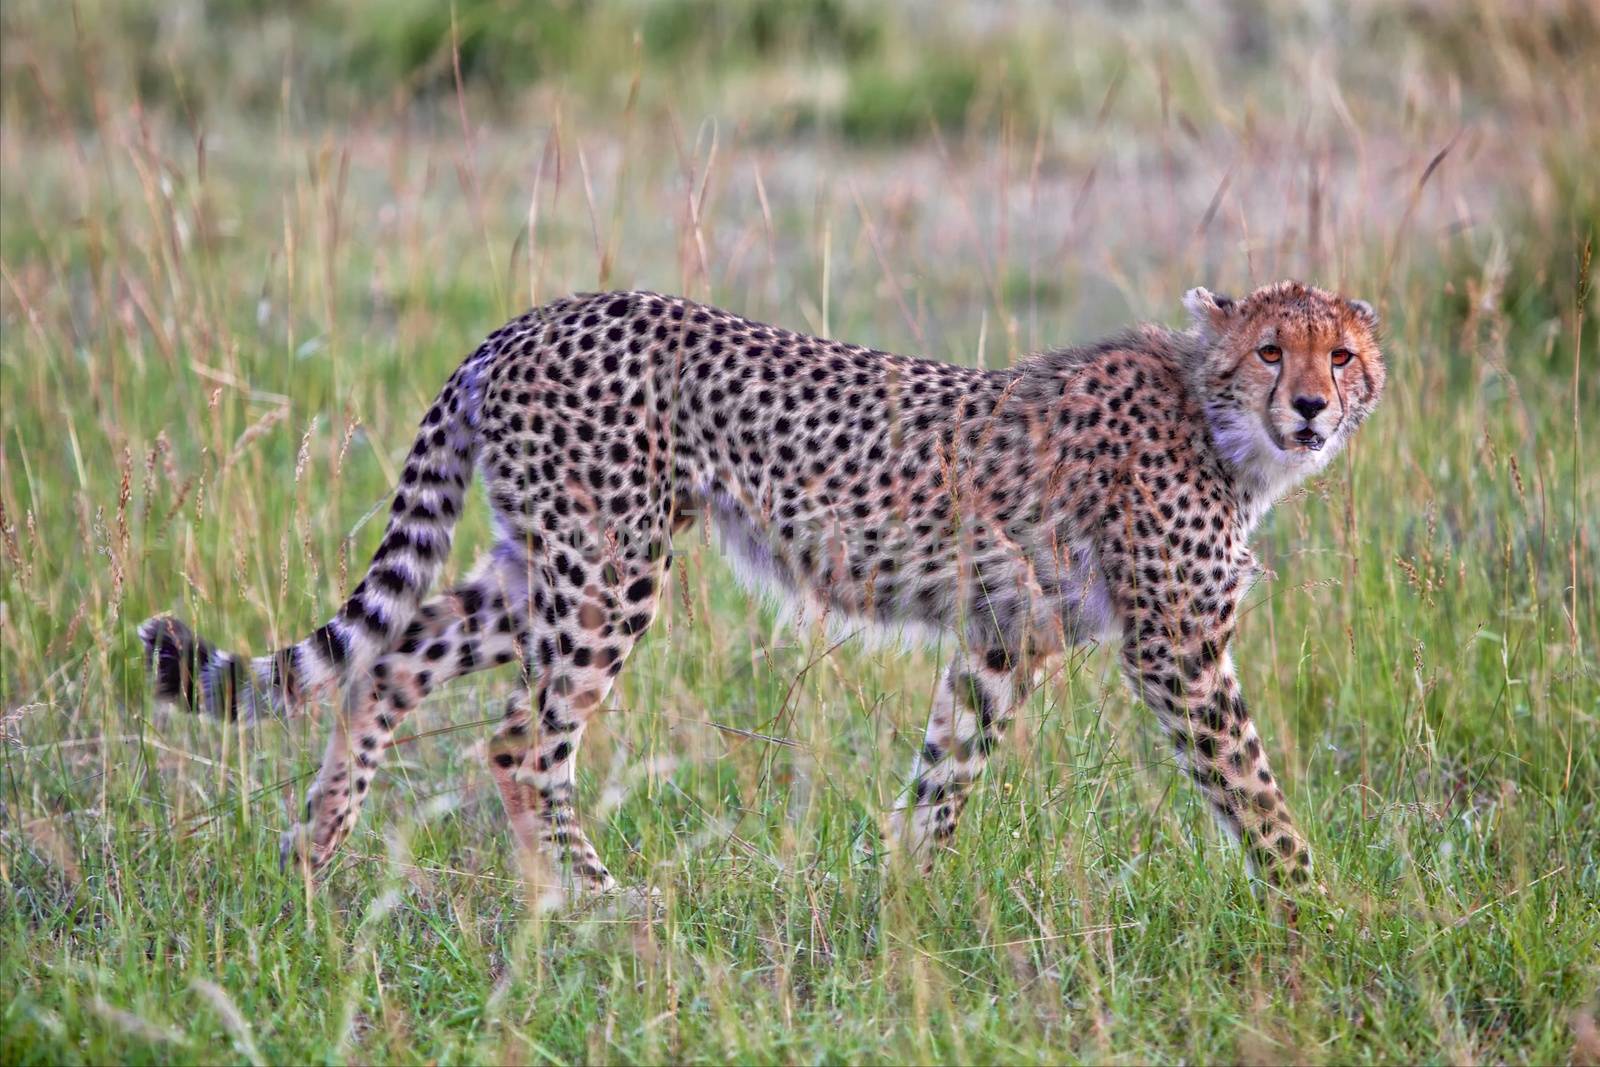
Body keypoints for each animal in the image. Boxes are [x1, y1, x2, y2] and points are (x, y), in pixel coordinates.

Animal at [144, 279, 1382, 895]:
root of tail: (531, 317)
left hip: (540, 563)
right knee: (518, 738)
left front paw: (898, 903)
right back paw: (596, 898)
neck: (1219, 424)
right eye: (1272, 350)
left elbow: (943, 772)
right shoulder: (1177, 648)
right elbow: (1253, 789)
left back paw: (319, 858)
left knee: (389, 663)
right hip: (607, 570)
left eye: (1342, 354)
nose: (1313, 406)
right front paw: (1320, 907)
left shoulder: (1000, 636)